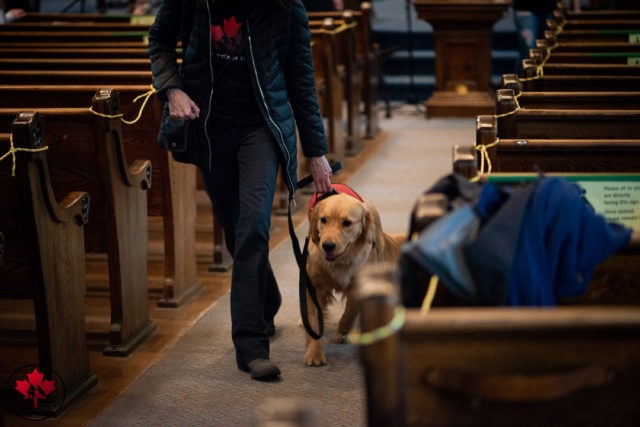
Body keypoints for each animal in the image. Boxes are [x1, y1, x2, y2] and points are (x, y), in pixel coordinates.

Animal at [302, 189, 402, 366]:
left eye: (347, 223)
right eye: (323, 220)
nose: (327, 246)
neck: (341, 261)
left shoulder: (360, 284)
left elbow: (350, 311)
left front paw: (343, 330)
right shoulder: (314, 286)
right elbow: (314, 321)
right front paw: (314, 353)